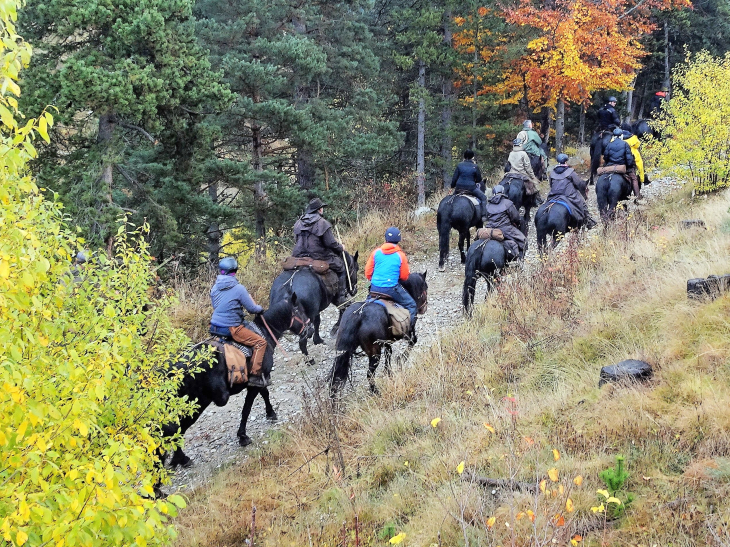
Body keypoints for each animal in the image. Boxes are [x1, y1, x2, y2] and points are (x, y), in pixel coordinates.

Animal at [159, 294, 310, 468]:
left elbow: (264, 393)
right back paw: (182, 459)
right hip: (195, 404)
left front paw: (270, 413)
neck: (264, 332)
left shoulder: (258, 379)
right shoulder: (256, 381)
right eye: (300, 311)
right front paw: (243, 436)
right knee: (176, 429)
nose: (310, 329)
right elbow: (247, 408)